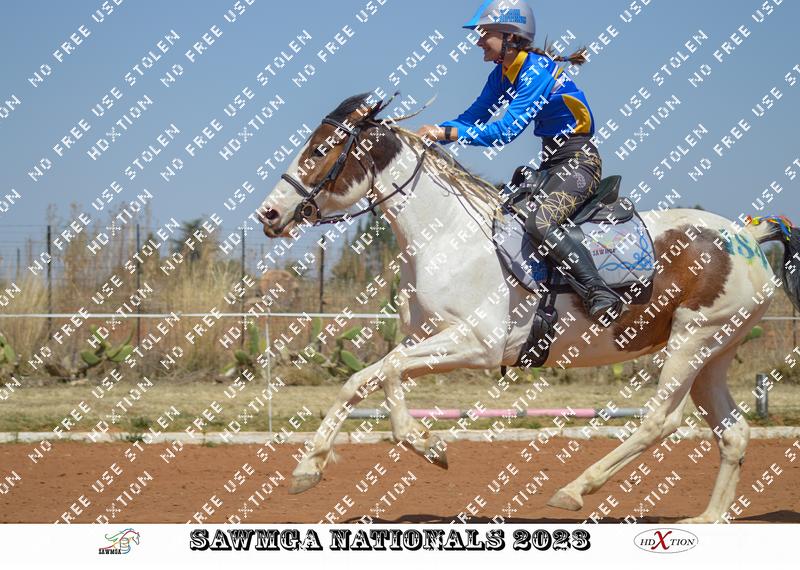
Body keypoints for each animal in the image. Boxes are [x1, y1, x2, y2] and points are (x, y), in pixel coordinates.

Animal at [256, 92, 800, 523]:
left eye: (321, 149)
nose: (269, 214)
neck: (446, 237)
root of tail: (746, 235)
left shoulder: (476, 345)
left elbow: (386, 373)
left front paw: (426, 443)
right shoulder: (422, 341)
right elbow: (361, 379)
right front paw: (309, 467)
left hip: (692, 340)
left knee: (660, 421)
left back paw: (575, 489)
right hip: (715, 352)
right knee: (733, 433)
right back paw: (706, 520)